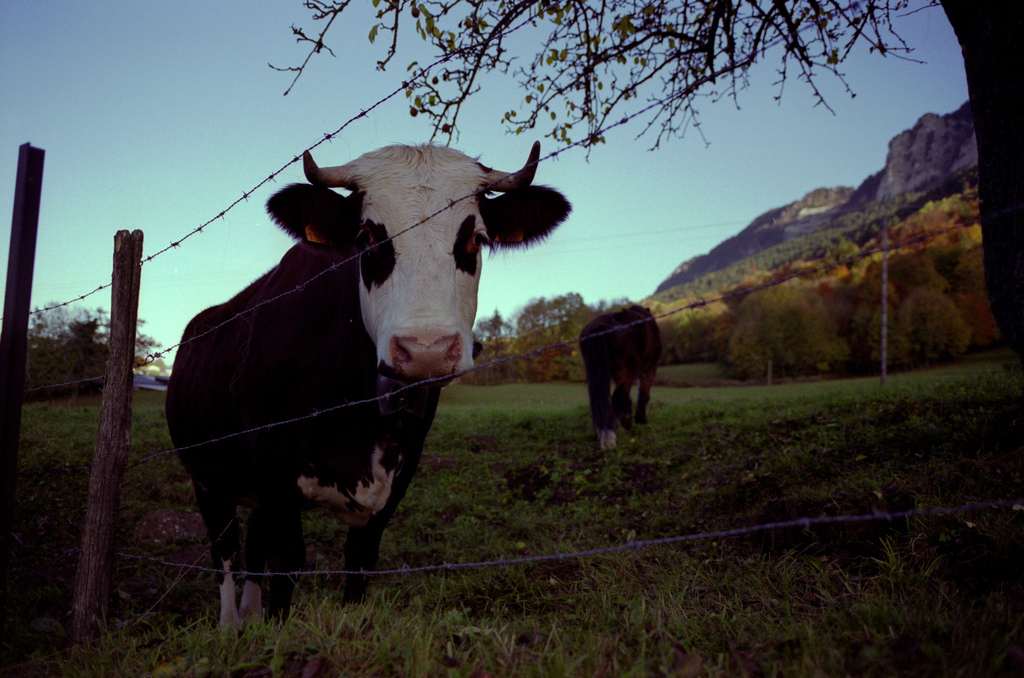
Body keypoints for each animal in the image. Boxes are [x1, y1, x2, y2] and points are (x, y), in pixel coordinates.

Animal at [163, 142, 573, 626]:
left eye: (477, 238)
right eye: (369, 238)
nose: (426, 349)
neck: (357, 417)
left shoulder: (396, 475)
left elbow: (357, 563)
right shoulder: (276, 474)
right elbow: (287, 564)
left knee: (253, 546)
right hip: (208, 479)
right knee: (226, 551)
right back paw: (231, 625)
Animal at [581, 305, 659, 448]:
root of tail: (600, 328)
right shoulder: (650, 367)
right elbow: (643, 393)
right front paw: (640, 420)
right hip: (627, 372)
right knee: (617, 398)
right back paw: (609, 437)